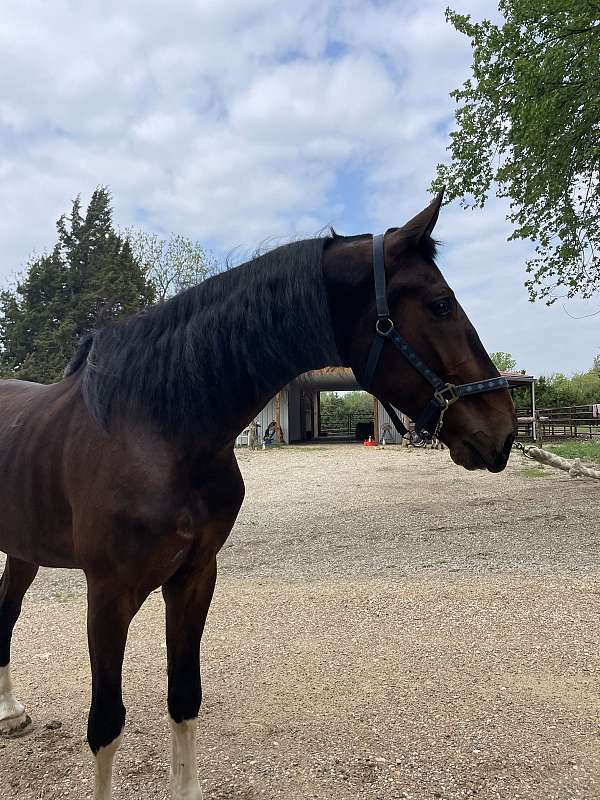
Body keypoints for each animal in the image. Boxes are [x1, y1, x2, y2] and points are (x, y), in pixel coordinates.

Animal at [0, 195, 516, 800]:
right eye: (439, 305)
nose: (502, 431)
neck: (155, 429)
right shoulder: (108, 592)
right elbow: (105, 723)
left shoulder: (195, 577)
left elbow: (184, 696)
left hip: (24, 551)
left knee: (6, 613)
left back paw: (10, 713)